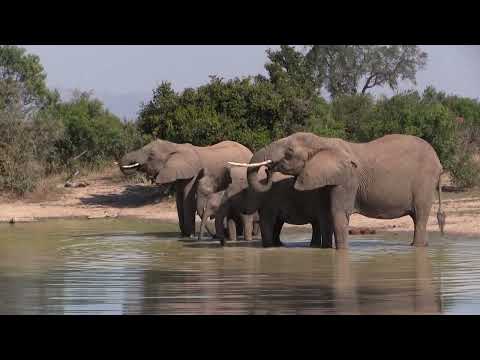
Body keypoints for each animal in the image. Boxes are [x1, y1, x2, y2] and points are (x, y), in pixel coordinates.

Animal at [118, 139, 253, 238]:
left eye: (151, 155)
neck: (174, 147)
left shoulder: (192, 172)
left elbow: (188, 199)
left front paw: (190, 236)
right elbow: (179, 200)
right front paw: (183, 236)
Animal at [239, 131, 446, 249]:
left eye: (289, 153)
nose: (268, 170)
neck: (324, 142)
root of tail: (440, 164)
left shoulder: (348, 179)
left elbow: (338, 212)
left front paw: (341, 251)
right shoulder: (327, 178)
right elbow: (326, 213)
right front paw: (325, 249)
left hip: (424, 182)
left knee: (420, 215)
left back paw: (416, 247)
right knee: (419, 218)